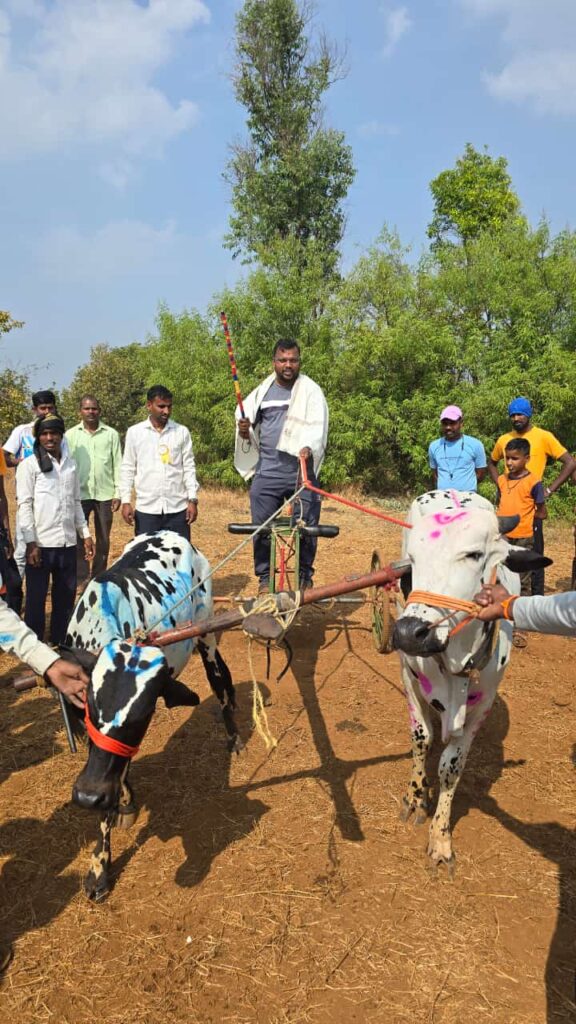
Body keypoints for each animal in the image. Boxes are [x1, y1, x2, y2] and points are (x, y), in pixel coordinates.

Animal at [62, 530, 240, 901]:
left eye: (140, 717)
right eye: (90, 707)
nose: (87, 795)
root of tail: (172, 534)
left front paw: (99, 871)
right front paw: (126, 802)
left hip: (205, 631)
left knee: (217, 674)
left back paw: (233, 732)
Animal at [392, 490, 551, 875]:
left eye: (474, 554)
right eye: (412, 558)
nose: (409, 632)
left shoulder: (484, 703)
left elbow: (452, 765)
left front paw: (441, 839)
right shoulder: (408, 678)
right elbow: (421, 739)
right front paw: (416, 798)